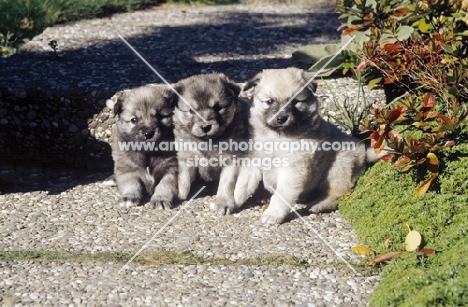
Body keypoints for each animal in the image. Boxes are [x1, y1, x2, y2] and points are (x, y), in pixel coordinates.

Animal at [232, 68, 382, 225]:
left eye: (295, 102)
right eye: (269, 101)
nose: (281, 118)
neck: (277, 136)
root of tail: (364, 152)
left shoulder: (292, 170)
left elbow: (281, 196)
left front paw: (273, 214)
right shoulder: (253, 162)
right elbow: (242, 185)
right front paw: (232, 202)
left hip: (339, 167)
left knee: (338, 192)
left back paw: (319, 205)